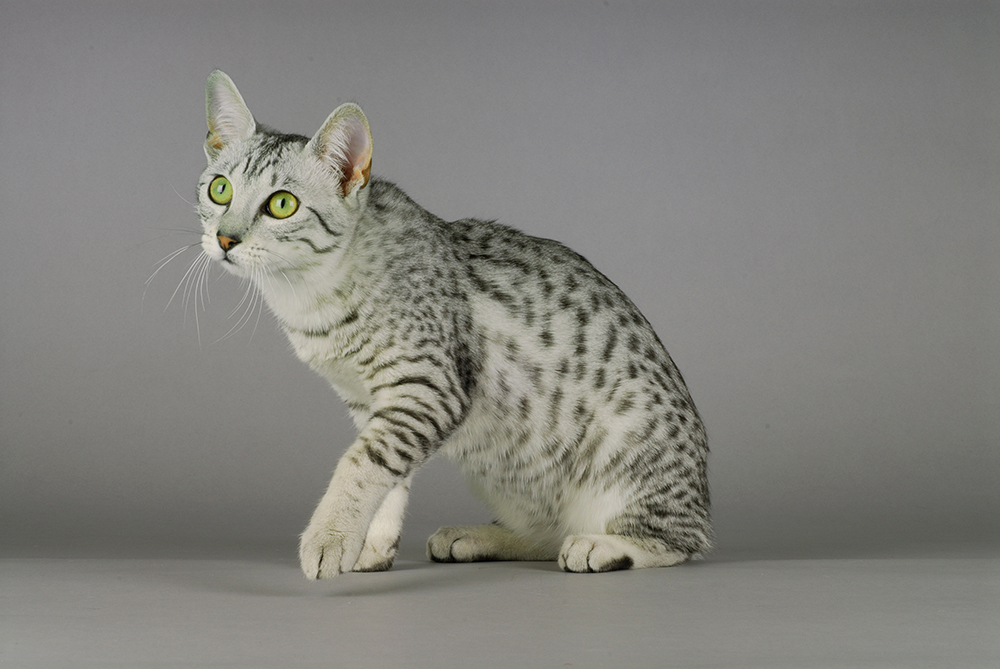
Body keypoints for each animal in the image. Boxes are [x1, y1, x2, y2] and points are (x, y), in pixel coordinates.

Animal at [197, 70, 712, 576]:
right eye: (219, 189)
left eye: (282, 204)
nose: (225, 238)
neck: (308, 295)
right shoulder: (368, 401)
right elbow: (387, 479)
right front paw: (372, 546)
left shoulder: (426, 387)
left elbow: (362, 463)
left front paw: (330, 537)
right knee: (548, 535)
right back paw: (479, 537)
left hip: (630, 454)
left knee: (680, 541)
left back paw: (602, 546)